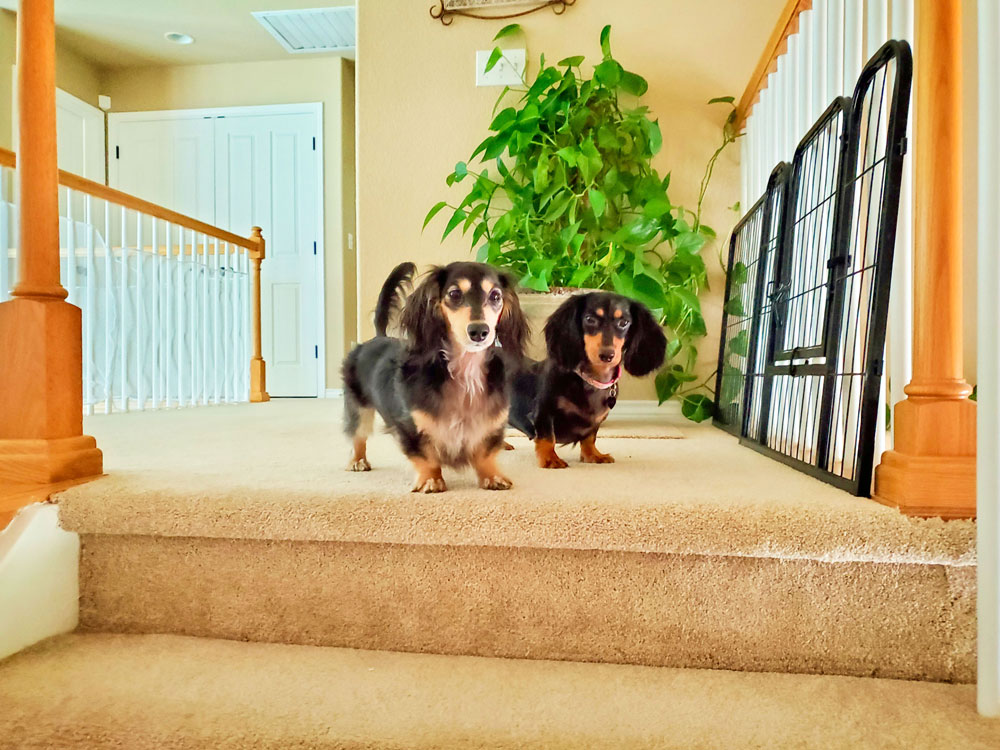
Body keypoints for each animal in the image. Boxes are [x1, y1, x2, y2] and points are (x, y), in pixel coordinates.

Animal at [344, 262, 528, 494]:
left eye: (495, 296)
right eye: (454, 294)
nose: (479, 331)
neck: (466, 374)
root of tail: (378, 337)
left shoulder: (491, 423)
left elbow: (486, 452)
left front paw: (493, 476)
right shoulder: (411, 426)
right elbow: (426, 455)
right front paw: (431, 480)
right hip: (358, 406)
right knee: (358, 434)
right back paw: (357, 461)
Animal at [512, 294, 668, 470]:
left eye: (624, 323)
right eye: (589, 319)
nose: (607, 355)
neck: (591, 381)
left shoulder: (595, 423)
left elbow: (589, 438)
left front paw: (593, 455)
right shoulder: (543, 412)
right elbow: (547, 437)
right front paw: (550, 458)